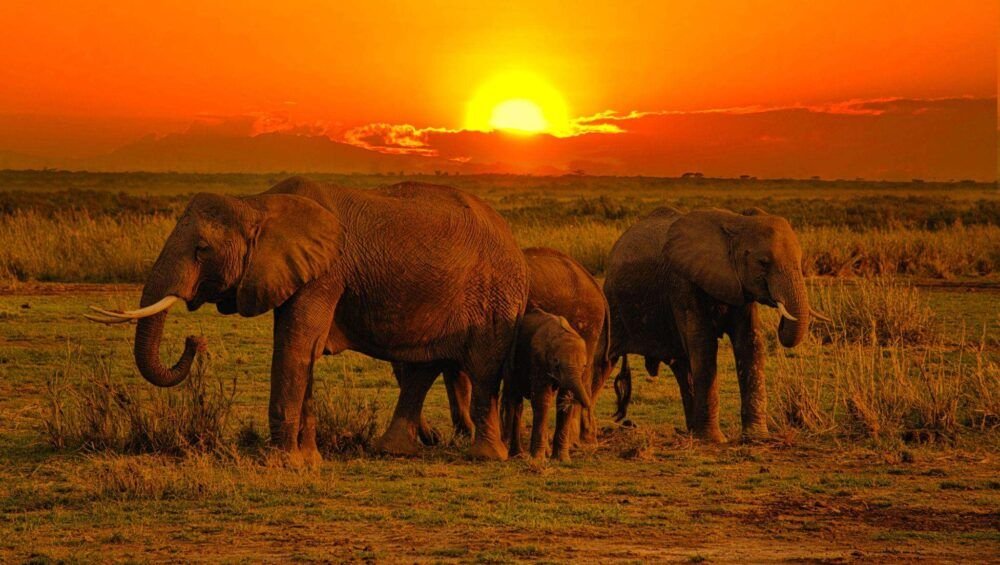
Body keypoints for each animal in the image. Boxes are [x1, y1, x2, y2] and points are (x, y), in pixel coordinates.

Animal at [86, 176, 532, 462]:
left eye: (201, 250)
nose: (194, 341)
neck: (258, 204)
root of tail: (512, 236)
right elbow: (305, 351)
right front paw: (309, 459)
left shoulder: (325, 272)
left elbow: (295, 346)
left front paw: (283, 462)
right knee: (424, 367)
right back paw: (393, 450)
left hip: (496, 296)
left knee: (483, 368)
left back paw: (487, 457)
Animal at [508, 310, 592, 460]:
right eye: (556, 365)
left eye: (584, 366)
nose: (587, 405)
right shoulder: (538, 359)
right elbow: (542, 399)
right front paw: (538, 459)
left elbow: (564, 399)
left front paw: (563, 459)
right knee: (515, 400)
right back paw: (518, 454)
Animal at [600, 205, 828, 442]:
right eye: (763, 263)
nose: (782, 320)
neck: (736, 223)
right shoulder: (683, 282)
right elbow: (704, 344)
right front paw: (714, 440)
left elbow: (750, 342)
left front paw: (757, 436)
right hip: (612, 305)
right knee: (602, 360)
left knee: (682, 368)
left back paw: (692, 431)